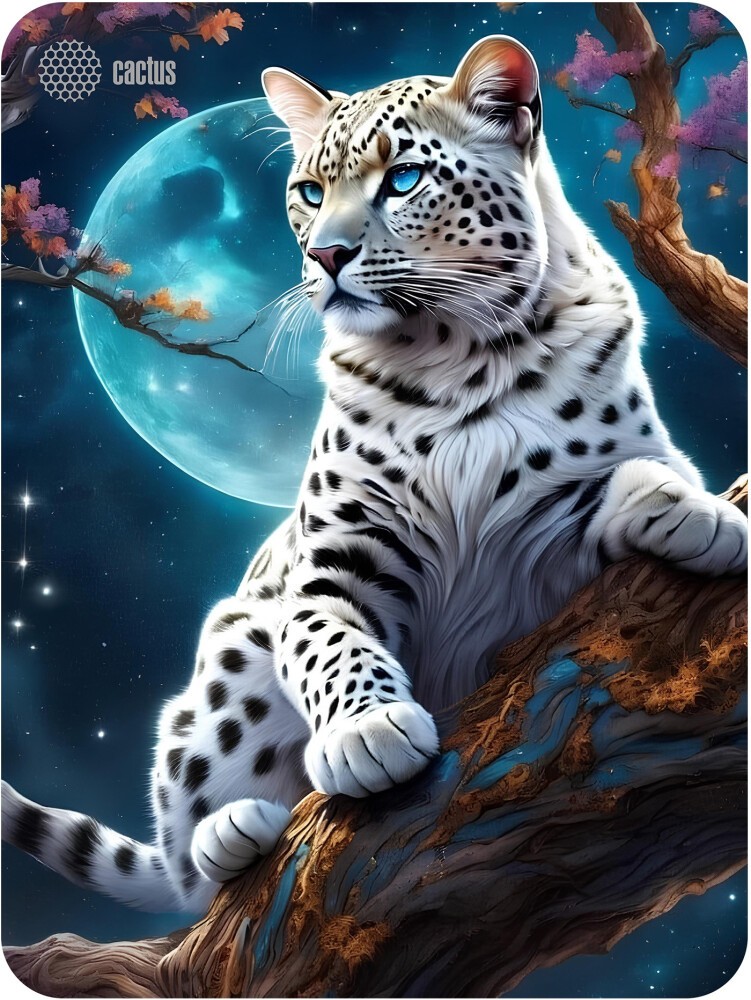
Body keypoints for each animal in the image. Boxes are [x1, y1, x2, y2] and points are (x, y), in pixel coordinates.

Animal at [3, 35, 746, 915]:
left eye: (402, 178)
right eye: (309, 191)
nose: (325, 254)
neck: (459, 356)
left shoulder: (553, 564)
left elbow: (631, 474)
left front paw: (695, 511)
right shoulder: (333, 566)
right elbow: (329, 643)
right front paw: (367, 732)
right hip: (231, 651)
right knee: (188, 856)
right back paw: (233, 833)